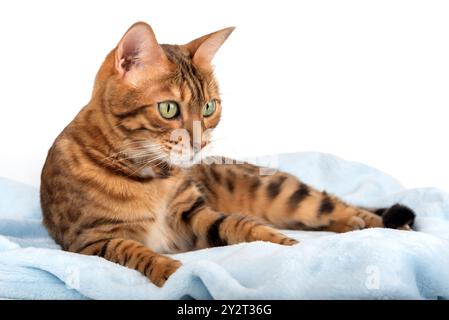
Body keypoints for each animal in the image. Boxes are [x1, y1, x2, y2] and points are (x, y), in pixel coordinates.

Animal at [40, 22, 414, 288]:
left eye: (209, 107)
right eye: (168, 108)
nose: (199, 142)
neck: (154, 177)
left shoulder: (194, 215)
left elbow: (240, 224)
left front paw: (285, 243)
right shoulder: (89, 241)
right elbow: (134, 250)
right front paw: (170, 270)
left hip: (288, 194)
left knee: (340, 205)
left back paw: (379, 224)